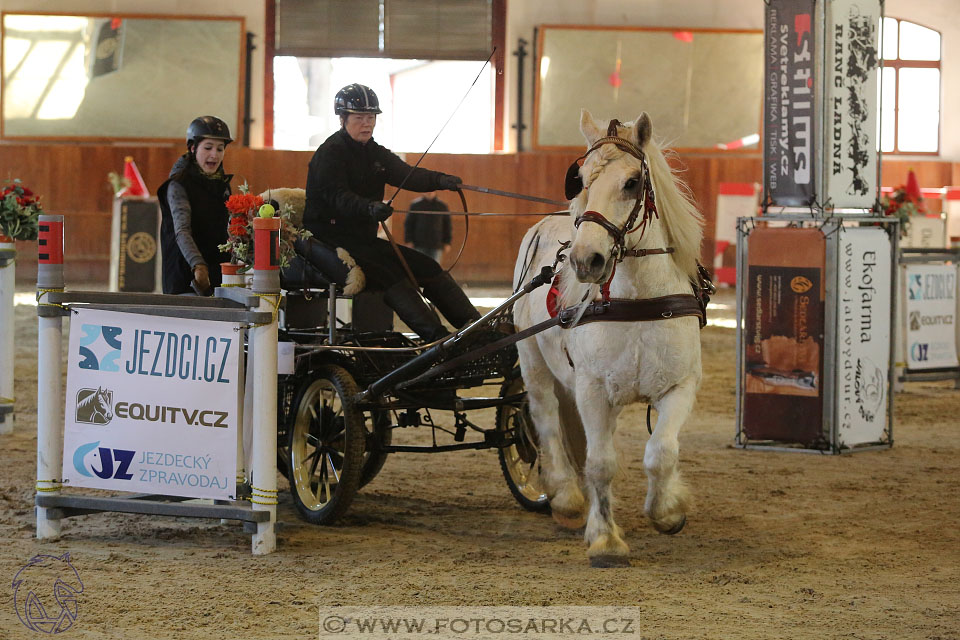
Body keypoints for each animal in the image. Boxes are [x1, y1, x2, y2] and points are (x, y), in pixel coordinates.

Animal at [512, 111, 708, 568]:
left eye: (633, 182)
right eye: (580, 178)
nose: (587, 260)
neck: (637, 301)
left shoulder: (680, 386)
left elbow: (661, 452)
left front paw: (668, 510)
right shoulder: (591, 388)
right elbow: (600, 462)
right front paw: (605, 540)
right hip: (532, 360)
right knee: (546, 418)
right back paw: (566, 498)